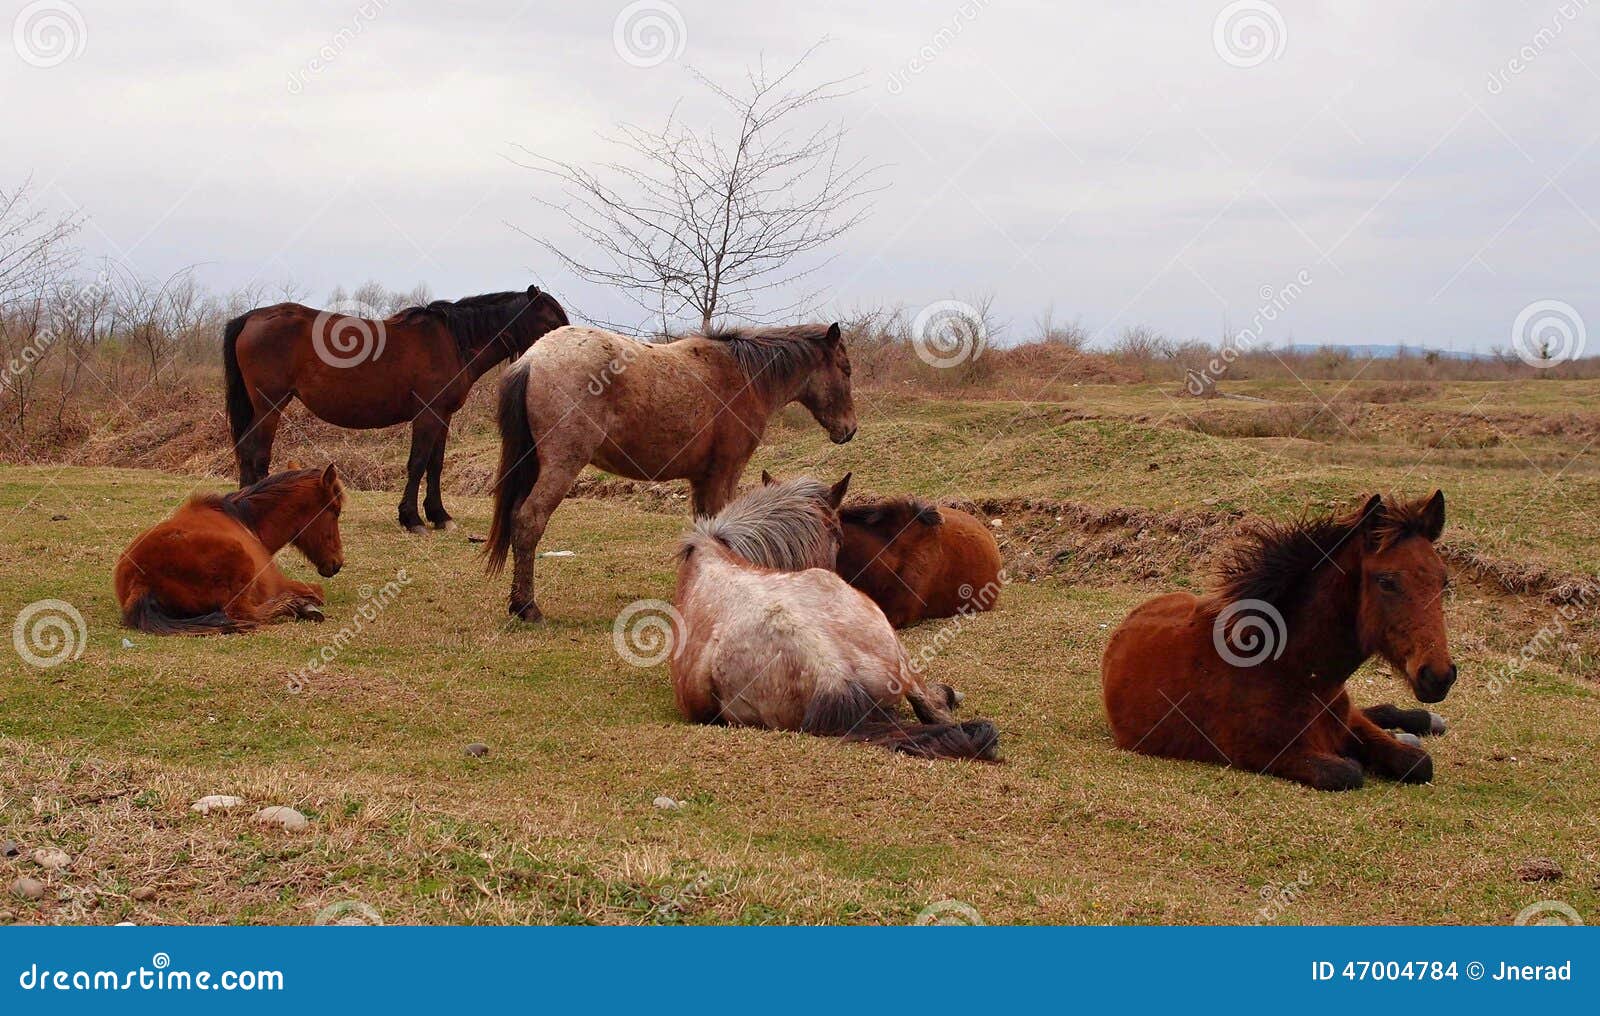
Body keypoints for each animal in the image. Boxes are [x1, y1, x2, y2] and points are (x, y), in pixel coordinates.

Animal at [113, 466, 346, 634]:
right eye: (335, 511)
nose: (337, 563)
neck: (244, 521)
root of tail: (141, 580)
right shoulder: (279, 584)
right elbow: (317, 591)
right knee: (243, 613)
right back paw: (295, 606)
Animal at [223, 285, 569, 533]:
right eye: (551, 321)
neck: (453, 342)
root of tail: (251, 318)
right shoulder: (427, 414)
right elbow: (417, 463)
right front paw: (412, 519)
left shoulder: (443, 416)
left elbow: (435, 464)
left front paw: (439, 516)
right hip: (270, 405)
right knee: (256, 452)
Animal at [485, 323, 857, 621]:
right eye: (846, 369)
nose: (849, 430)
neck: (743, 376)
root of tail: (532, 359)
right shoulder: (725, 474)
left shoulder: (703, 480)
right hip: (561, 467)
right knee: (529, 521)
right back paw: (527, 607)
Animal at [1100, 491, 1455, 791]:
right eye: (1386, 581)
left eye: (1444, 581)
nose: (1438, 675)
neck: (1288, 668)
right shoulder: (1261, 752)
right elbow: (1347, 772)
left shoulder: (1347, 722)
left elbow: (1418, 764)